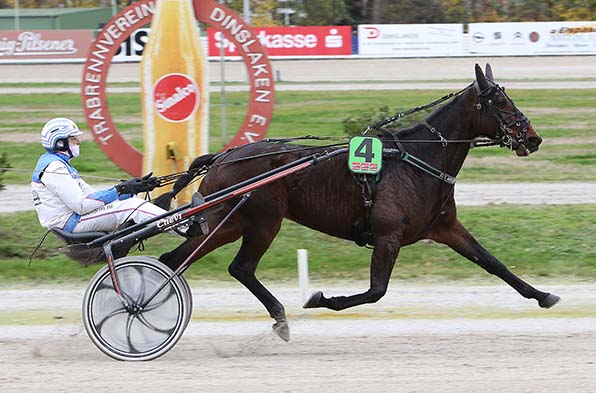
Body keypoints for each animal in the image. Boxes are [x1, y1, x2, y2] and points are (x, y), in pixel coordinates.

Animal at [156, 64, 560, 340]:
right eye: (501, 101)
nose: (533, 138)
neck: (420, 159)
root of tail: (223, 156)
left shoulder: (445, 228)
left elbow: (493, 263)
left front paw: (542, 295)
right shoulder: (387, 235)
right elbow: (376, 291)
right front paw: (321, 299)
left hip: (227, 222)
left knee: (175, 260)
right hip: (263, 220)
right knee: (240, 267)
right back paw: (279, 317)